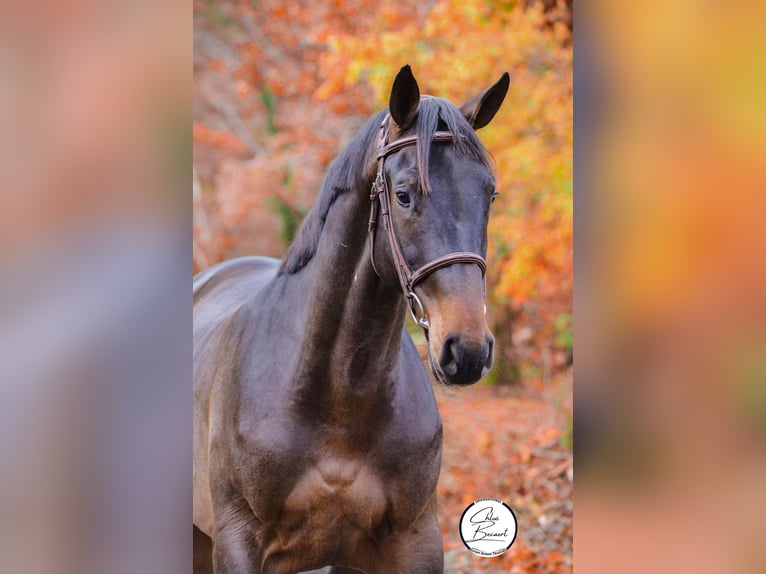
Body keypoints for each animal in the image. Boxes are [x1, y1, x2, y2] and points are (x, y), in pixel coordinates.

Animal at [195, 65, 510, 572]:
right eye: (403, 195)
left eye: (490, 194)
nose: (467, 349)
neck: (340, 401)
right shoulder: (237, 543)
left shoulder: (414, 541)